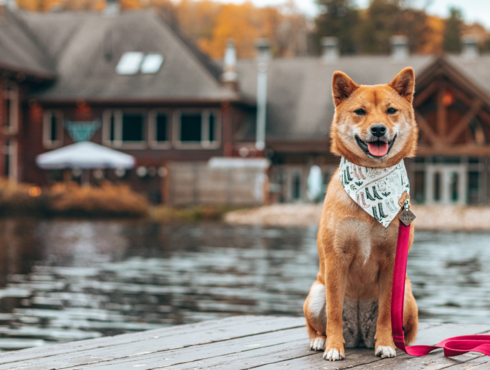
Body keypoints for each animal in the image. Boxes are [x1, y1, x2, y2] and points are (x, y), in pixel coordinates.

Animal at [304, 67, 420, 362]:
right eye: (360, 111)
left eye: (391, 110)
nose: (378, 129)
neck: (372, 179)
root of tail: (357, 335)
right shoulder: (336, 258)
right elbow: (334, 312)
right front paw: (334, 347)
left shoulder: (392, 262)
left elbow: (385, 313)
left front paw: (386, 344)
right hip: (316, 292)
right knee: (315, 327)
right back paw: (321, 341)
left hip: (407, 296)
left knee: (405, 332)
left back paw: (392, 342)